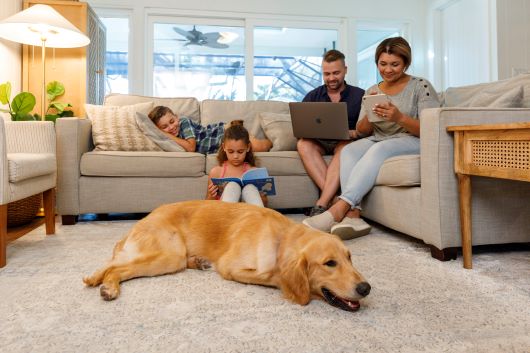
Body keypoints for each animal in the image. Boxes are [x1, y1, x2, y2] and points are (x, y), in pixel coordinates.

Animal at [83, 201, 372, 310]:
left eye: (350, 258)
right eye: (329, 263)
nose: (365, 288)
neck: (280, 240)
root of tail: (145, 219)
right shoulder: (230, 267)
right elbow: (273, 275)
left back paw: (198, 261)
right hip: (168, 254)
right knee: (115, 268)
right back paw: (108, 286)